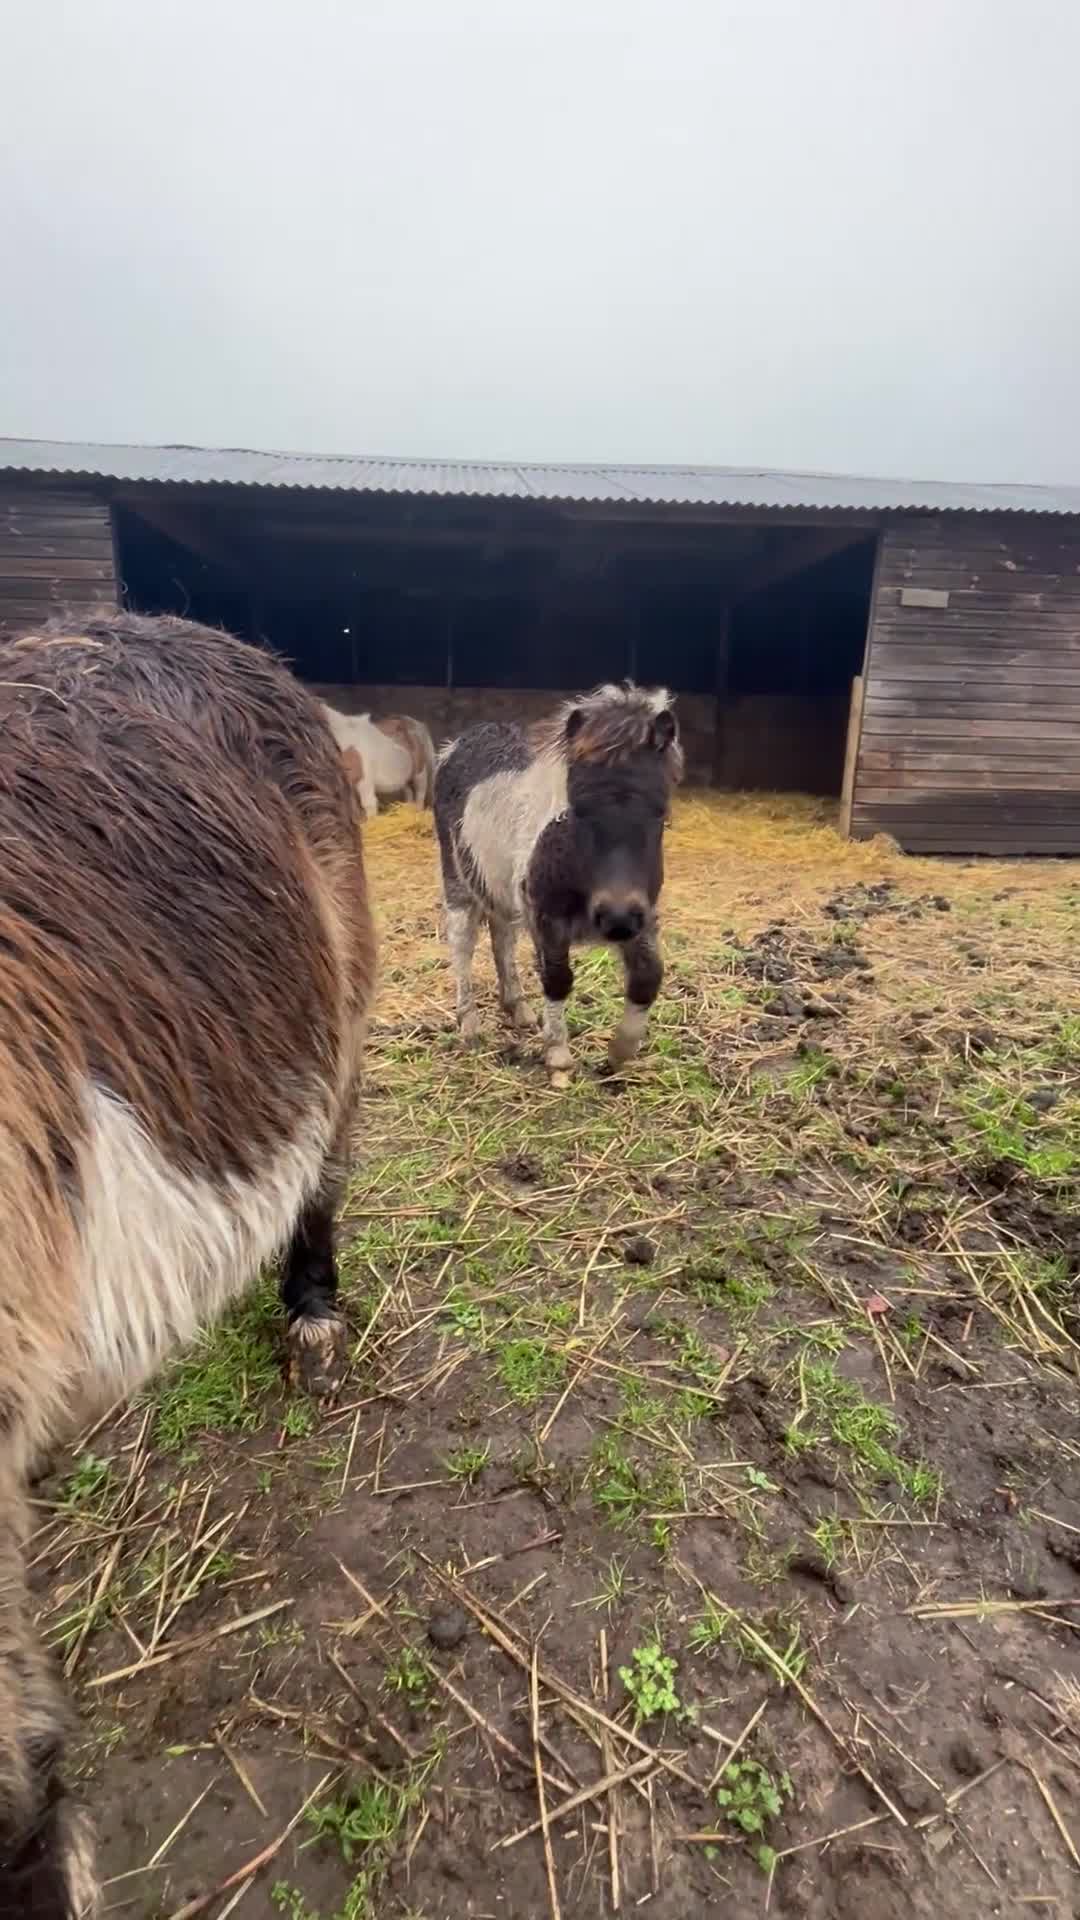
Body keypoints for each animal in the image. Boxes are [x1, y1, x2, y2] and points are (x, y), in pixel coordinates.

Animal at [433, 683, 682, 1085]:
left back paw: (518, 1009)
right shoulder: (545, 917)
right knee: (462, 943)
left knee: (502, 936)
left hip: (498, 886)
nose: (616, 919)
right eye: (577, 810)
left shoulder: (642, 915)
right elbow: (557, 978)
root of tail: (460, 742)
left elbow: (648, 978)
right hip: (458, 878)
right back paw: (469, 1025)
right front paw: (559, 1058)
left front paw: (618, 1054)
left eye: (660, 813)